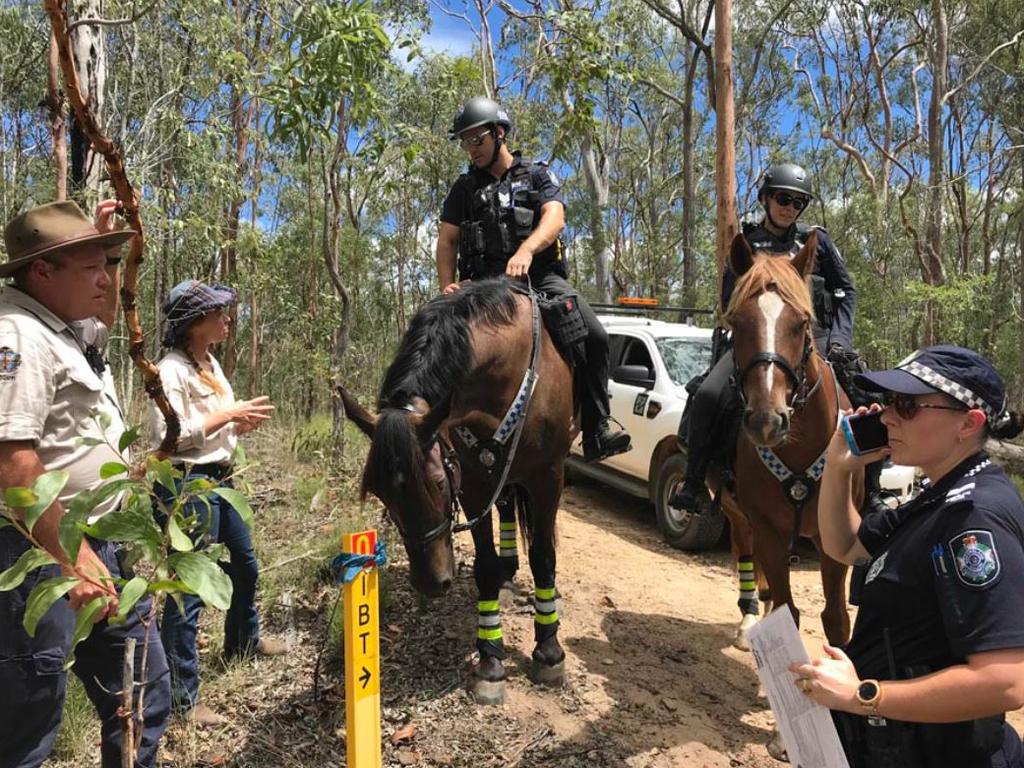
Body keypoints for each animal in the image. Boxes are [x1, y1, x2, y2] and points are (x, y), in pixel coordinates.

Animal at [339, 276, 573, 704]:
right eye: (382, 495)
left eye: (436, 483)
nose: (431, 584)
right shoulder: (475, 481)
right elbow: (484, 565)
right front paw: (491, 657)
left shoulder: (548, 476)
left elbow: (544, 556)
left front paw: (549, 650)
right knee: (507, 508)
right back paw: (507, 574)